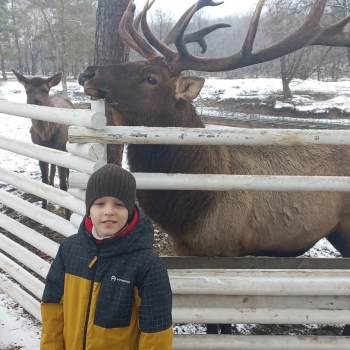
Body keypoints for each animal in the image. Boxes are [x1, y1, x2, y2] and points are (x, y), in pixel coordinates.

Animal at [12, 69, 74, 220]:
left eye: (46, 90)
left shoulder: (61, 150)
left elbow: (63, 185)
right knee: (52, 170)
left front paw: (67, 215)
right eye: (27, 90)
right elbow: (44, 181)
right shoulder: (39, 151)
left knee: (67, 173)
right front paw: (44, 208)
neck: (47, 137)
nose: (37, 102)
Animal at [78, 0, 350, 334]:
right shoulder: (188, 249)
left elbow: (223, 325)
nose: (88, 72)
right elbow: (211, 323)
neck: (192, 207)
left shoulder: (226, 250)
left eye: (151, 78)